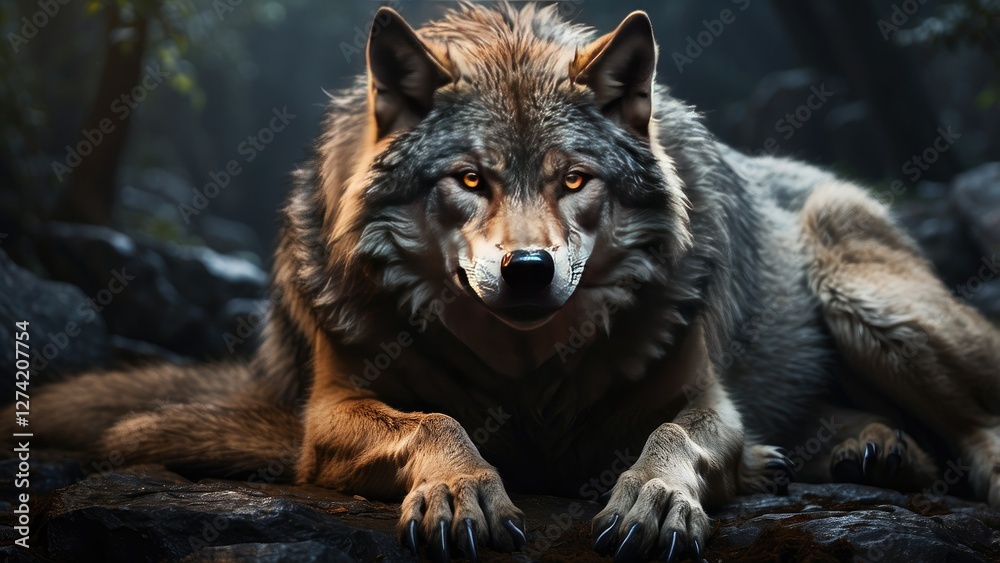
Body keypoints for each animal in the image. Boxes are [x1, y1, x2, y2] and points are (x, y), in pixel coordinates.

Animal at [12, 3, 1000, 562]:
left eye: (574, 180)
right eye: (471, 180)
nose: (528, 270)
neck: (527, 375)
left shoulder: (706, 400)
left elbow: (672, 438)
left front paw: (654, 496)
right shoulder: (327, 419)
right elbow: (435, 420)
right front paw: (462, 490)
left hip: (873, 308)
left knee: (979, 418)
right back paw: (862, 448)